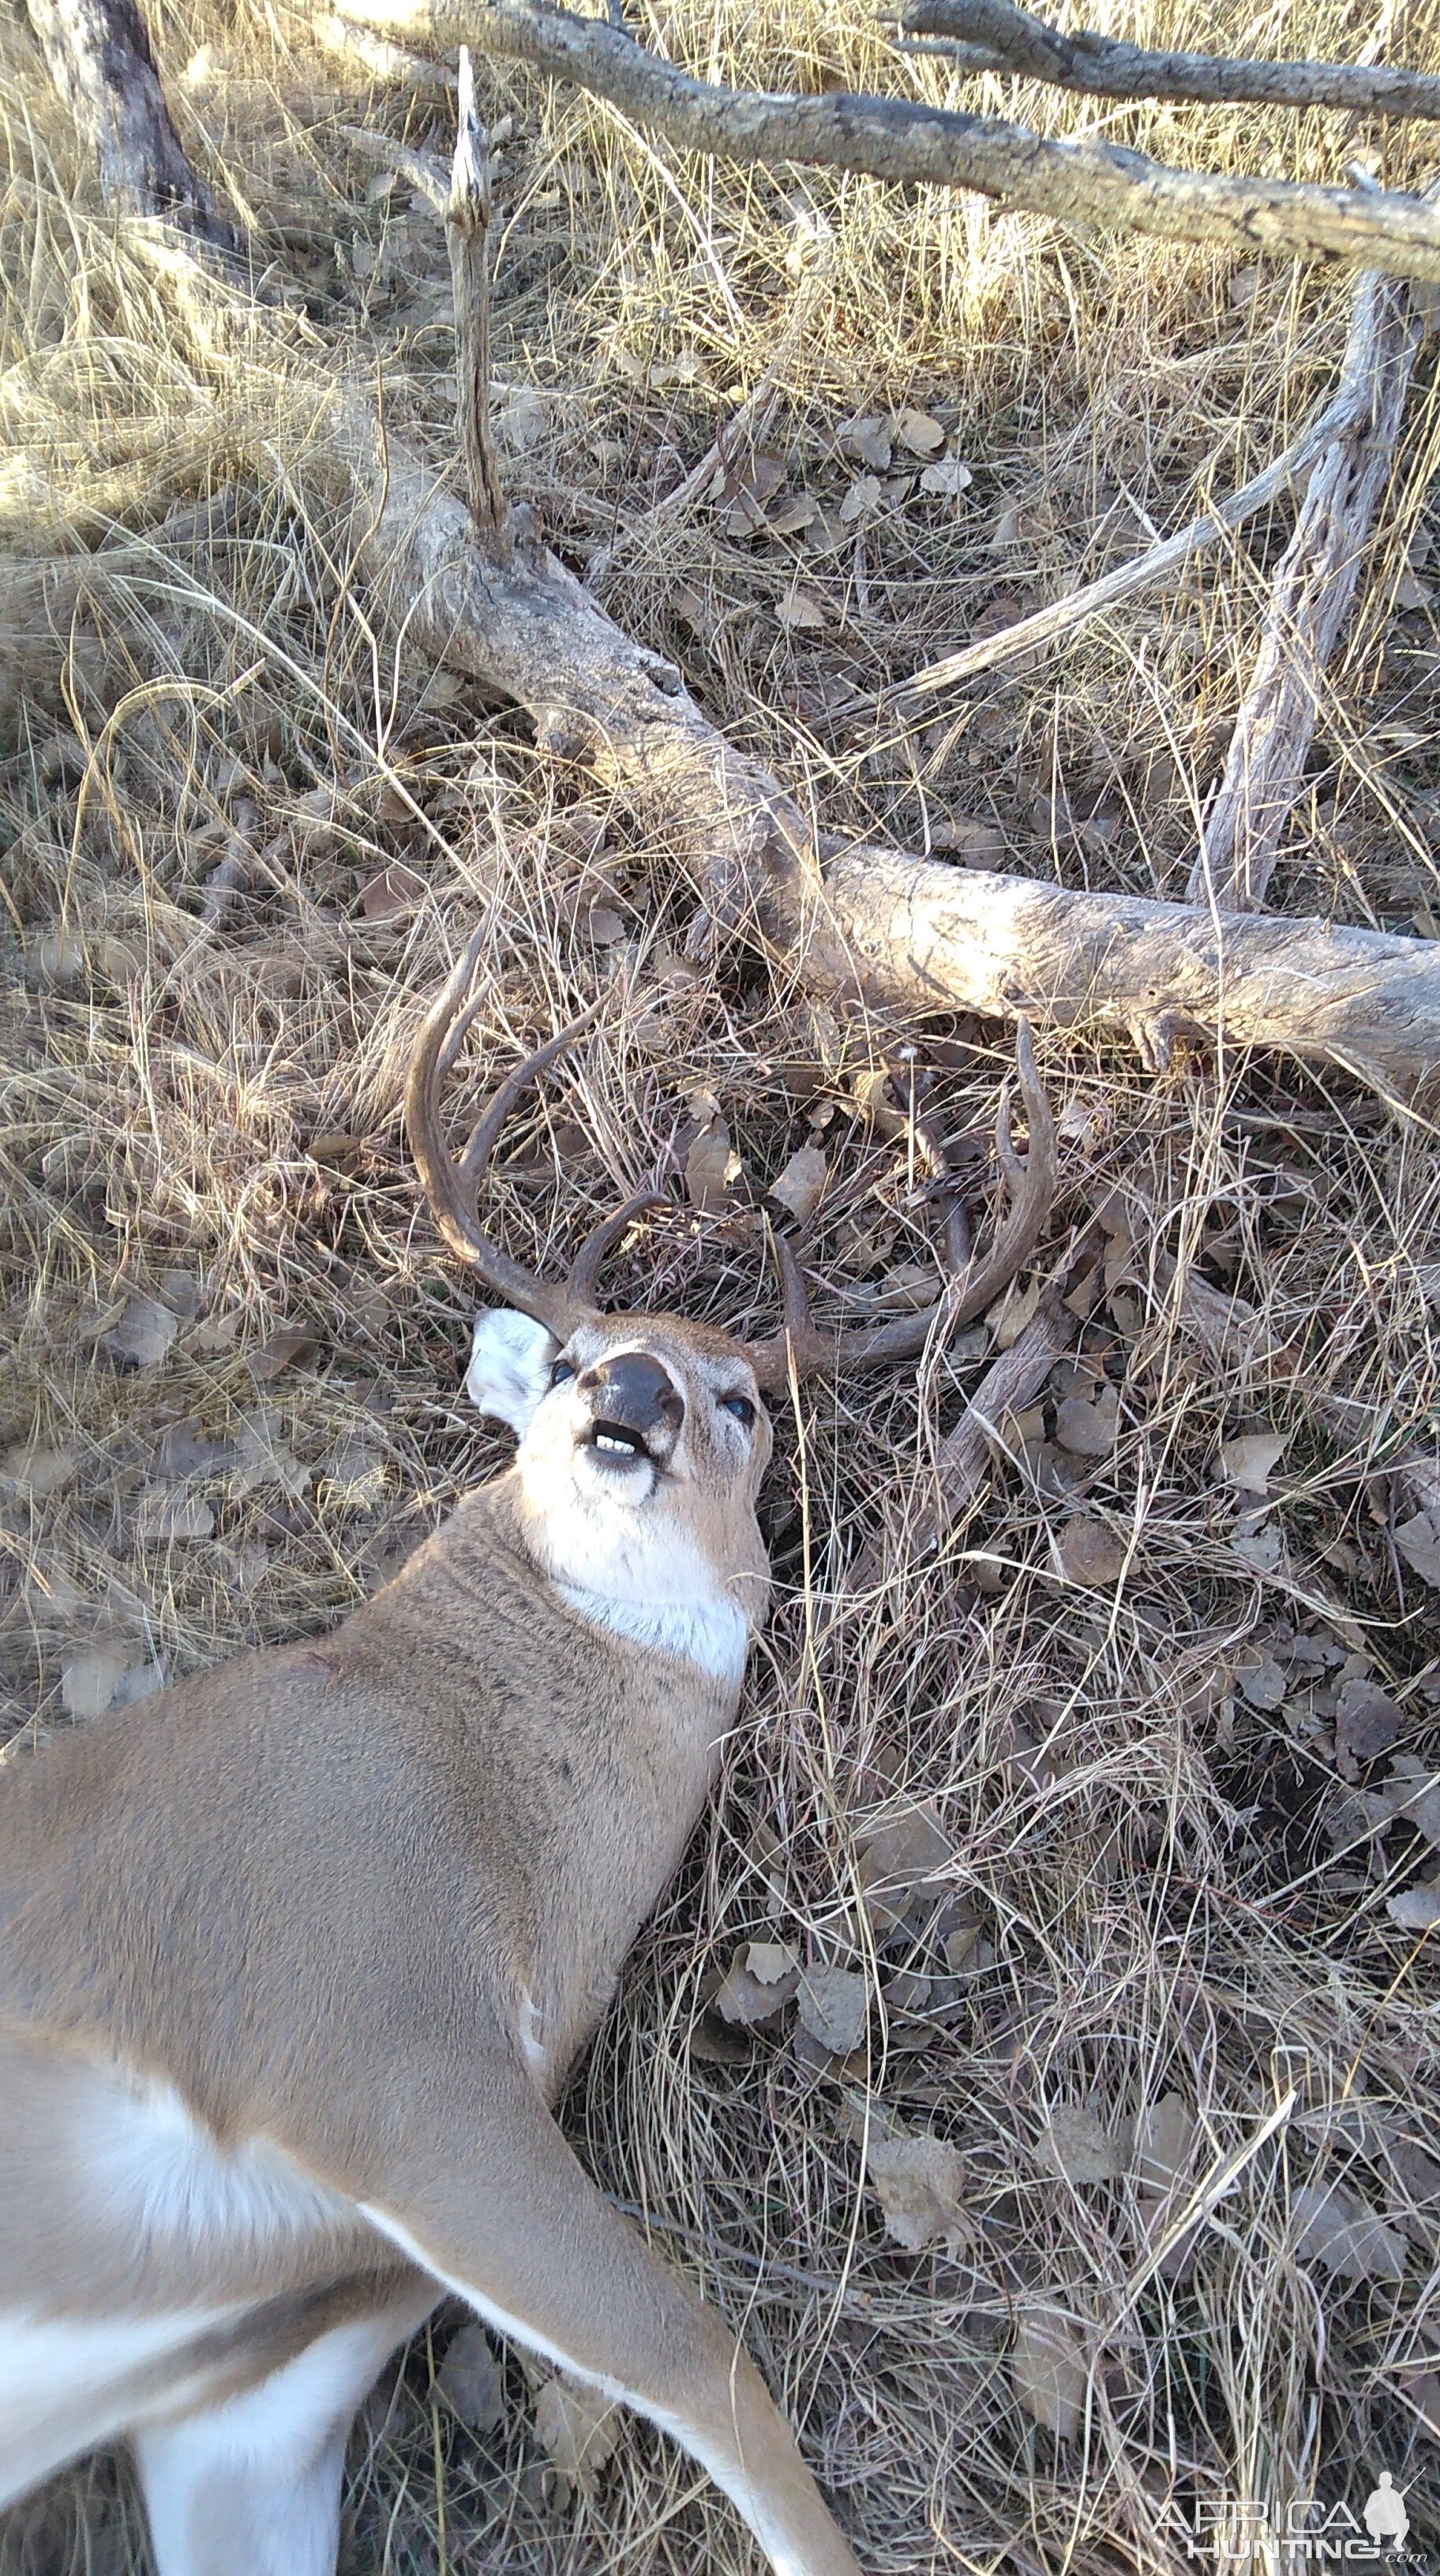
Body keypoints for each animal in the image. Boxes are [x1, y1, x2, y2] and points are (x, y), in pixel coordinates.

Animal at [0, 942, 1061, 2576]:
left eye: (741, 1395)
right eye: (571, 1351)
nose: (628, 1394)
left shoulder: (255, 2388)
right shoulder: (375, 2044)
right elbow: (699, 2352)